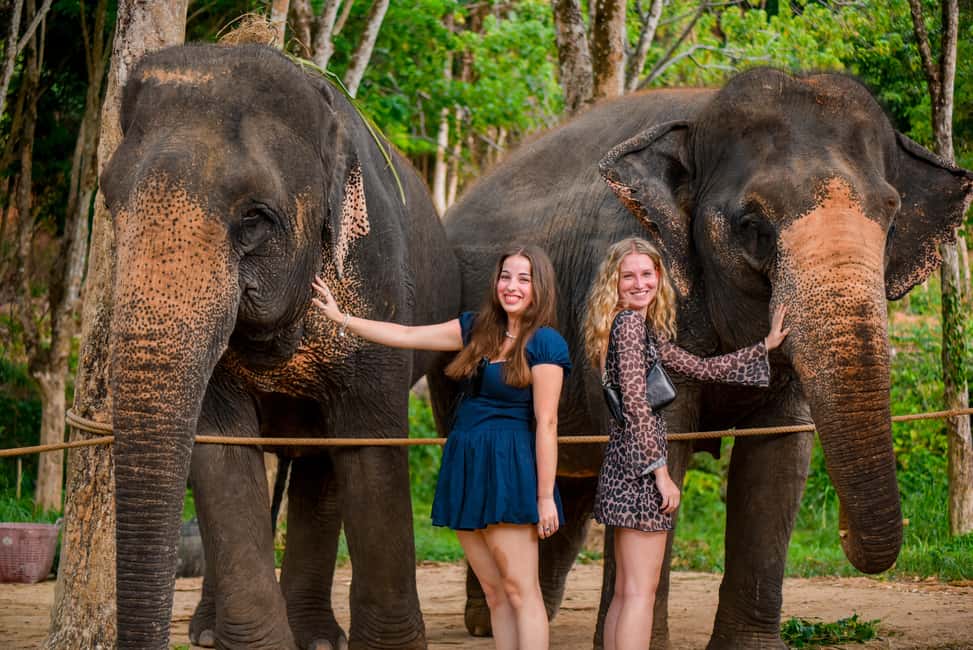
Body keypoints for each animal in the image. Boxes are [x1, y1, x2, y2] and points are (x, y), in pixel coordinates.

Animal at [101, 44, 459, 649]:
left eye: (254, 218)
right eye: (109, 203)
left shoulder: (379, 282)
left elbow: (370, 446)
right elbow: (221, 453)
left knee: (321, 465)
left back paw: (315, 636)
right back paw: (209, 632)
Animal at [429, 67, 973, 648]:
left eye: (891, 218)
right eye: (752, 225)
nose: (846, 530)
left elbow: (779, 458)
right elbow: (664, 435)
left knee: (568, 476)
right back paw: (487, 622)